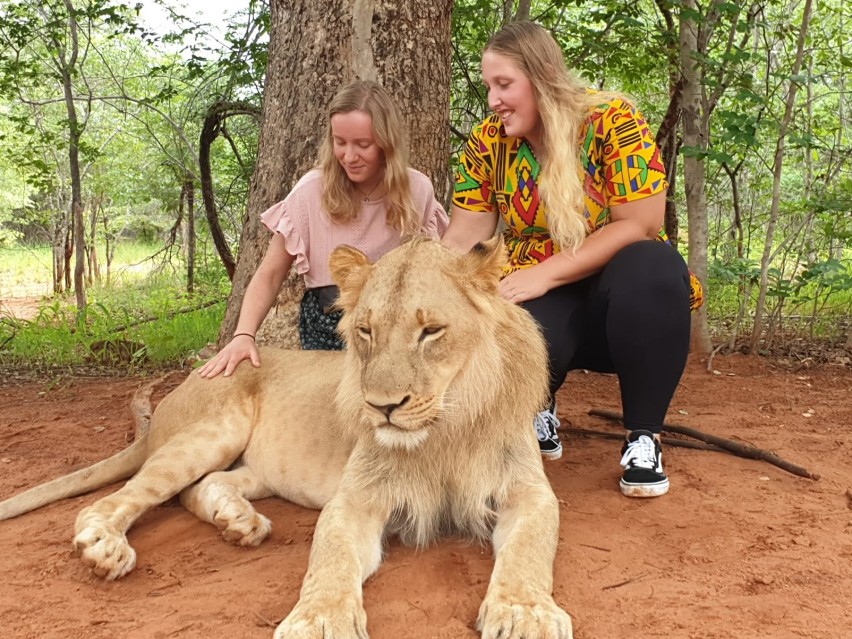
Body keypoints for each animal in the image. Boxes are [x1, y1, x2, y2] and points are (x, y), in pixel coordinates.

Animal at [1, 240, 572, 639]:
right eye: (365, 331)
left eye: (431, 331)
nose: (382, 407)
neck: (445, 429)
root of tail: (180, 387)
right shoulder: (354, 499)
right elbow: (331, 557)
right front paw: (318, 620)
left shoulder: (529, 492)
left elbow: (529, 550)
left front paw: (526, 614)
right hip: (216, 428)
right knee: (118, 499)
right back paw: (106, 547)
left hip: (256, 469)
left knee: (202, 487)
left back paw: (238, 522)